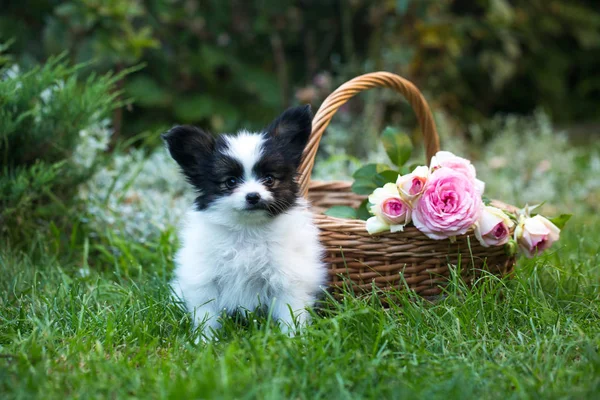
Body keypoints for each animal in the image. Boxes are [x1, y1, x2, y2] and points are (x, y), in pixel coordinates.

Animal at [162, 104, 326, 340]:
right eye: (230, 182)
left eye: (269, 179)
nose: (253, 196)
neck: (248, 230)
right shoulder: (205, 279)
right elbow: (206, 314)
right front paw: (204, 341)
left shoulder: (288, 278)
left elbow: (290, 312)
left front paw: (293, 339)